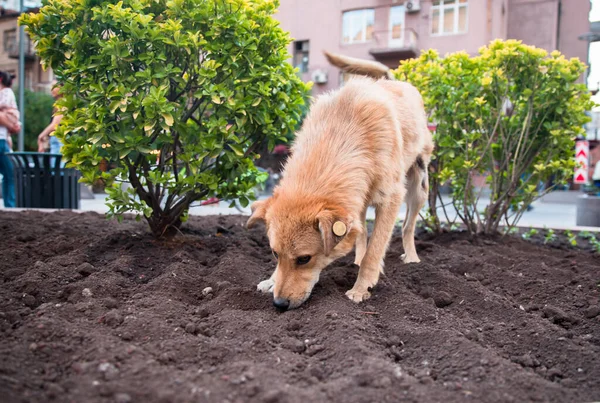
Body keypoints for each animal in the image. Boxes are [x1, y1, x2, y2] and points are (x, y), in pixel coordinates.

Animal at [246, 51, 434, 312]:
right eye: (274, 253)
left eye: (304, 259)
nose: (279, 304)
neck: (341, 135)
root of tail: (393, 82)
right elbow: (363, 239)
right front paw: (272, 280)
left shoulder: (390, 199)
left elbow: (375, 250)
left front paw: (361, 288)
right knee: (362, 232)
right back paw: (357, 258)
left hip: (418, 188)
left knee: (408, 226)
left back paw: (412, 258)